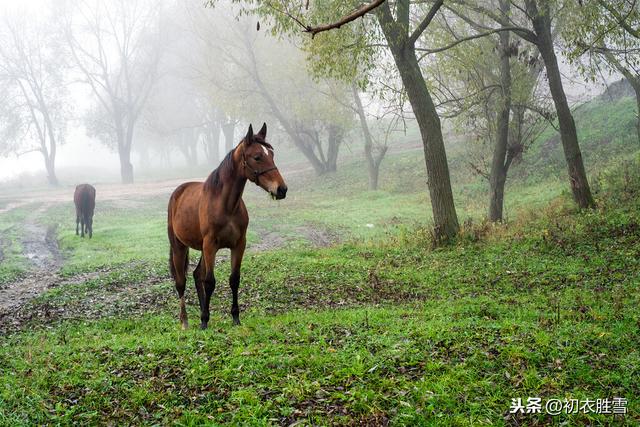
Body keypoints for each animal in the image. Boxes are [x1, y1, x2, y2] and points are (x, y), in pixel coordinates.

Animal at [168, 123, 288, 332]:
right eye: (257, 156)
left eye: (272, 154)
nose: (281, 189)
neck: (225, 204)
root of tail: (178, 192)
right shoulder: (210, 245)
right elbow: (210, 282)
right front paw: (204, 321)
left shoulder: (238, 245)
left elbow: (234, 279)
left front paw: (235, 318)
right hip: (179, 247)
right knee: (181, 282)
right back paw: (185, 321)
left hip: (201, 248)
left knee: (196, 275)